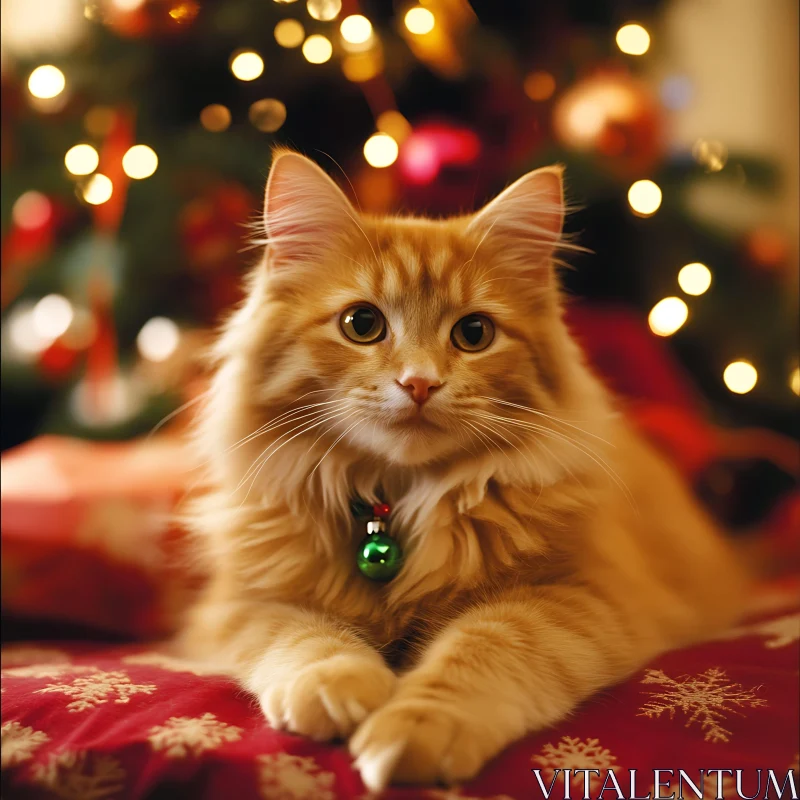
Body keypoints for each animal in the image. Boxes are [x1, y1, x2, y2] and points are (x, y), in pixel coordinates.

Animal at [181, 152, 752, 792]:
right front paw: (337, 686)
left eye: (473, 333)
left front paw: (416, 729)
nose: (419, 383)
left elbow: (482, 650)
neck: (395, 502)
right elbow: (306, 638)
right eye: (361, 324)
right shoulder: (241, 604)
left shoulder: (584, 595)